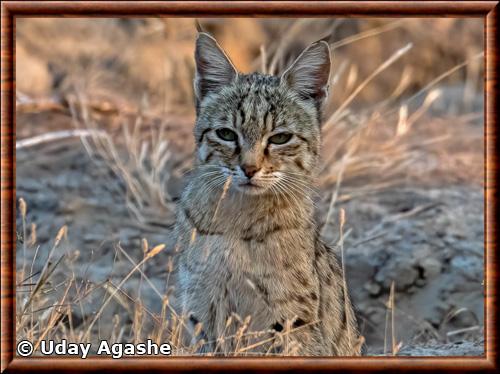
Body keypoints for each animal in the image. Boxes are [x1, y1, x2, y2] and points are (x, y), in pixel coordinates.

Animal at [171, 32, 360, 356]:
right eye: (226, 134)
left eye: (280, 138)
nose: (249, 169)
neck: (238, 215)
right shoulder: (202, 307)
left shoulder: (289, 317)